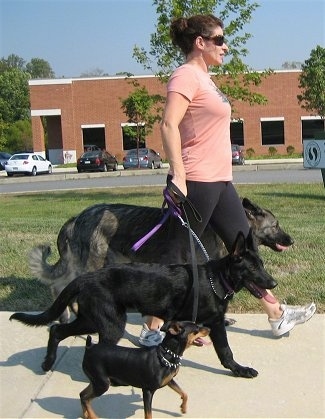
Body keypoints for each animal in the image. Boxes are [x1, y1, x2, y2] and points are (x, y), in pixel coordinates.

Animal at [10, 231, 276, 378]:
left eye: (262, 265)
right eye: (252, 268)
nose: (273, 283)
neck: (217, 279)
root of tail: (84, 278)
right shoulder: (215, 324)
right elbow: (225, 351)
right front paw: (239, 370)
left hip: (91, 319)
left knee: (56, 329)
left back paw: (47, 362)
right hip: (111, 324)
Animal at [79, 322, 209, 419]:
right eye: (197, 329)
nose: (209, 328)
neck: (166, 355)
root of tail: (89, 347)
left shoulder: (169, 381)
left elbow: (184, 393)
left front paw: (183, 408)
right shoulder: (148, 391)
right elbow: (148, 414)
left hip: (97, 382)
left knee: (82, 395)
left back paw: (86, 414)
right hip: (103, 384)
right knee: (86, 399)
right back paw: (93, 416)